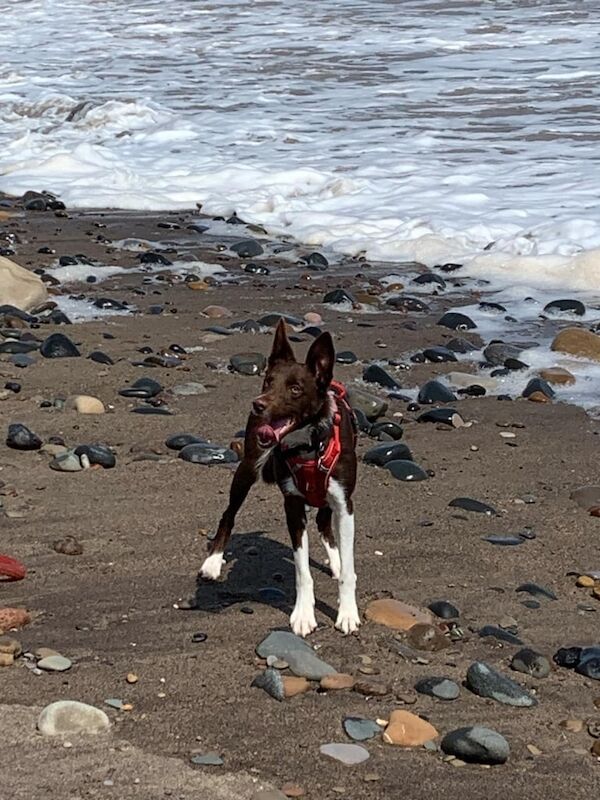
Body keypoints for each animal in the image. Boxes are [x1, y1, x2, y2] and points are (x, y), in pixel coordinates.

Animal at [200, 318, 360, 636]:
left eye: (295, 389)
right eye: (268, 382)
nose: (258, 404)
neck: (309, 444)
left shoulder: (344, 503)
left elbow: (348, 569)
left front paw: (347, 612)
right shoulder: (293, 505)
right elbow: (301, 570)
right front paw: (303, 614)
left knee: (324, 521)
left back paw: (335, 559)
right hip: (247, 467)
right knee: (228, 514)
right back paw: (213, 562)